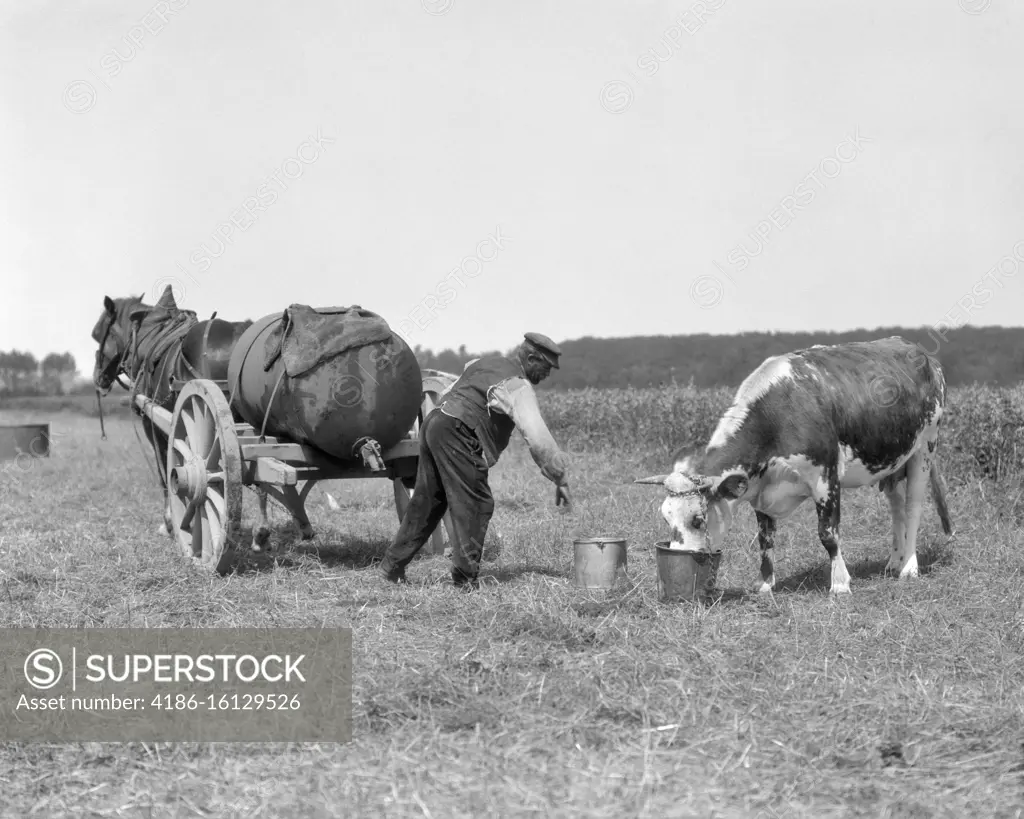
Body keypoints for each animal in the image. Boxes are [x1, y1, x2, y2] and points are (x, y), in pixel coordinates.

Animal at [634, 337, 954, 593]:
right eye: (666, 518)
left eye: (697, 520)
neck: (776, 419)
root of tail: (921, 353)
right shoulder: (760, 489)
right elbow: (765, 539)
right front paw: (765, 584)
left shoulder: (826, 478)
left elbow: (828, 534)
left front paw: (840, 584)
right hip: (892, 462)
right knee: (897, 508)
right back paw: (893, 561)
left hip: (925, 448)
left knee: (912, 507)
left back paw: (909, 567)